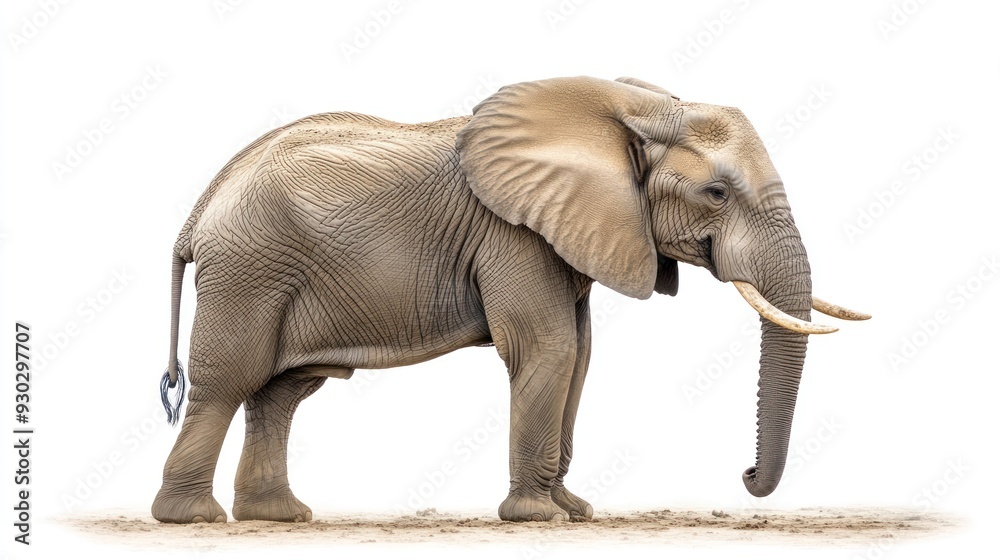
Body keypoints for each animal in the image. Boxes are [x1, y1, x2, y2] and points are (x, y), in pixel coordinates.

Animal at [151, 75, 868, 524]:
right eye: (716, 194)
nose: (744, 475)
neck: (632, 107)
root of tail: (198, 211)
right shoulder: (513, 235)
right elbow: (548, 350)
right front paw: (538, 517)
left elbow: (580, 356)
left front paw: (575, 513)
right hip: (250, 271)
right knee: (229, 382)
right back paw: (194, 519)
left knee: (281, 393)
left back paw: (281, 517)